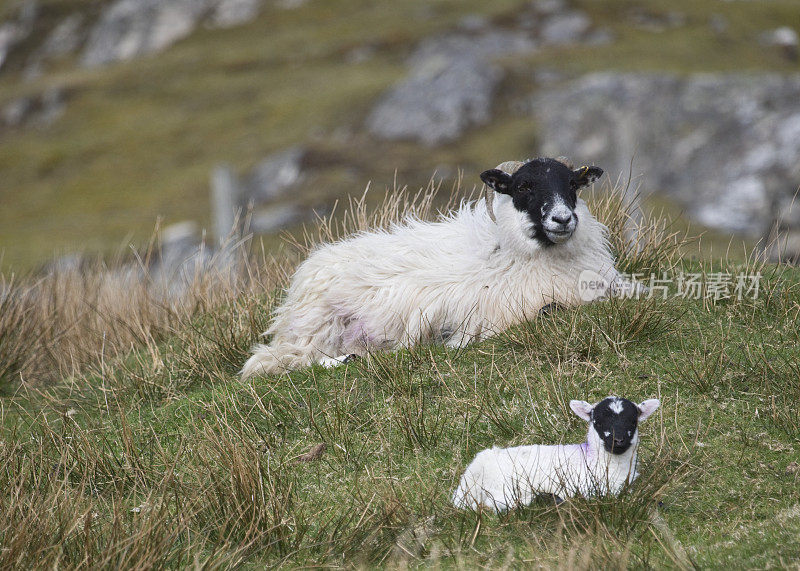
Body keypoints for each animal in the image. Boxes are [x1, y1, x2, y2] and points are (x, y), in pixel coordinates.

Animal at [241, 158, 636, 380]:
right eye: (524, 186)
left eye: (572, 183)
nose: (563, 219)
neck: (515, 253)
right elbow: (549, 310)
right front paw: (452, 342)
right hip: (315, 331)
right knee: (275, 361)